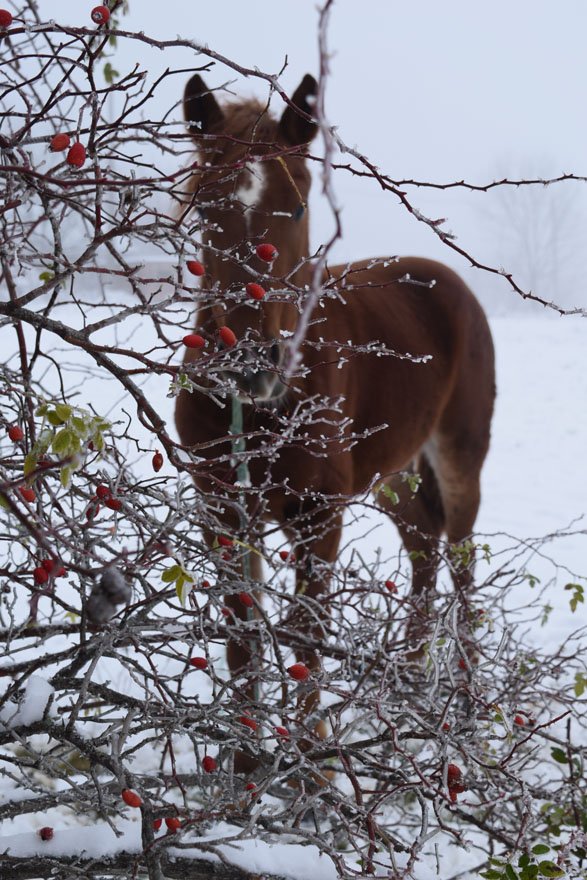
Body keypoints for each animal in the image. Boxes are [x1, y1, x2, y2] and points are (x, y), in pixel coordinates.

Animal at [173, 72, 496, 768]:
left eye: (296, 209)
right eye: (205, 210)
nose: (250, 362)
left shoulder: (318, 512)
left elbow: (305, 637)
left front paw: (308, 775)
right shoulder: (225, 510)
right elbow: (244, 639)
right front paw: (247, 771)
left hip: (459, 455)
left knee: (461, 564)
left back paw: (463, 708)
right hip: (394, 471)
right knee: (423, 548)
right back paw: (409, 686)